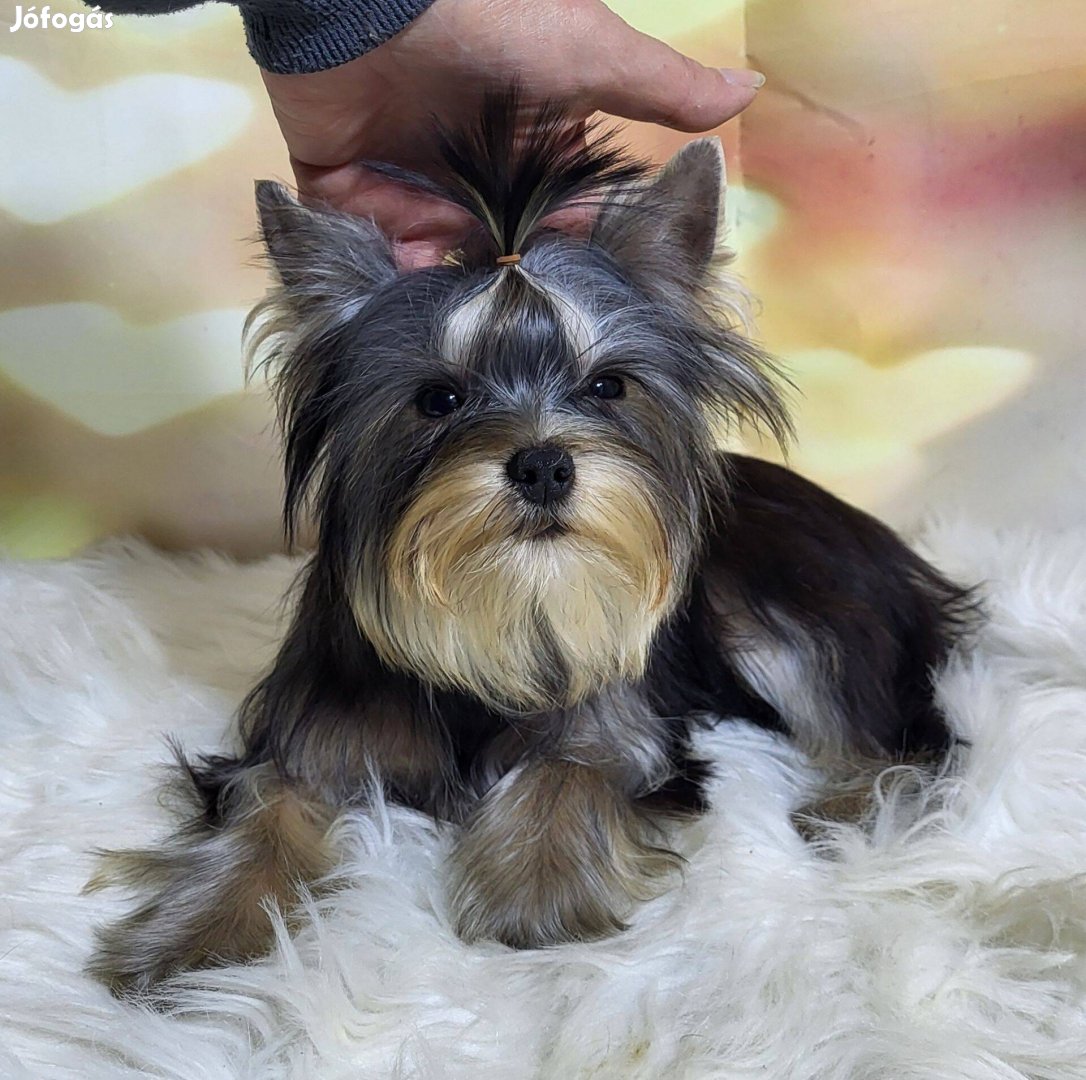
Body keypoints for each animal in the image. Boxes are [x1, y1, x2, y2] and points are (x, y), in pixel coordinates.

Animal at [86, 92, 977, 995]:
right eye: (438, 398)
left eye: (608, 385)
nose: (544, 462)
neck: (511, 594)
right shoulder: (311, 735)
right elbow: (266, 803)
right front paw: (201, 936)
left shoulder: (621, 726)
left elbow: (570, 768)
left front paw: (537, 896)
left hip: (786, 608)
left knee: (895, 730)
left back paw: (849, 804)